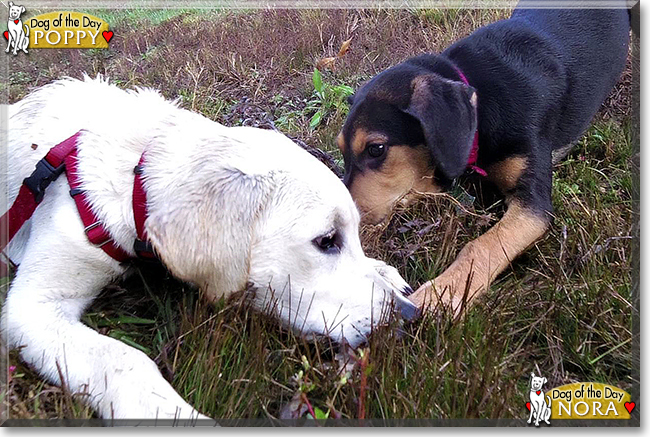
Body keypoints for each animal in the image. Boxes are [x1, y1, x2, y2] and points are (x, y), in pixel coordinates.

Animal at [0, 76, 416, 420]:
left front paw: (384, 271)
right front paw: (172, 414)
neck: (134, 172)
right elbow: (123, 359)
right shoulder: (32, 306)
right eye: (326, 241)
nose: (409, 315)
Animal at [340, 5, 628, 314]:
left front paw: (443, 293)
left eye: (376, 149)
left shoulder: (533, 205)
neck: (482, 101)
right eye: (342, 151)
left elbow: (483, 245)